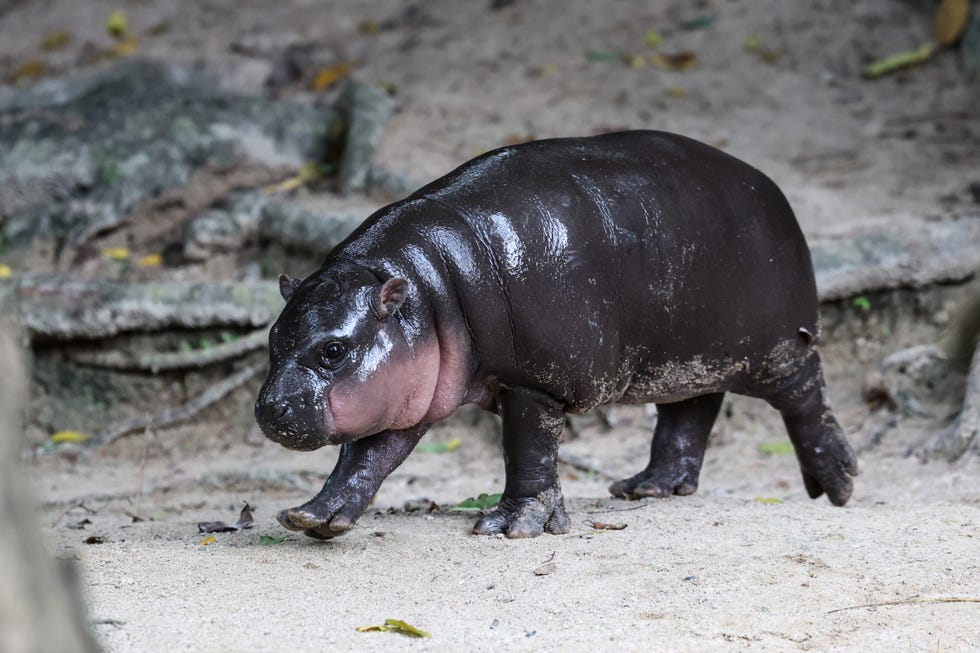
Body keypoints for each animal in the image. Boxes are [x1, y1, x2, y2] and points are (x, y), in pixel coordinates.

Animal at [255, 130, 856, 536]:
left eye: (334, 350)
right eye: (272, 338)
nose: (268, 409)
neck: (428, 288)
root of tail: (769, 186)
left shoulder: (536, 380)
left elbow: (529, 453)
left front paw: (512, 527)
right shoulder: (407, 390)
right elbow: (366, 458)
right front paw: (313, 518)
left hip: (776, 346)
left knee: (806, 396)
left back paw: (838, 486)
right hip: (684, 352)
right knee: (690, 408)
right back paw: (645, 489)